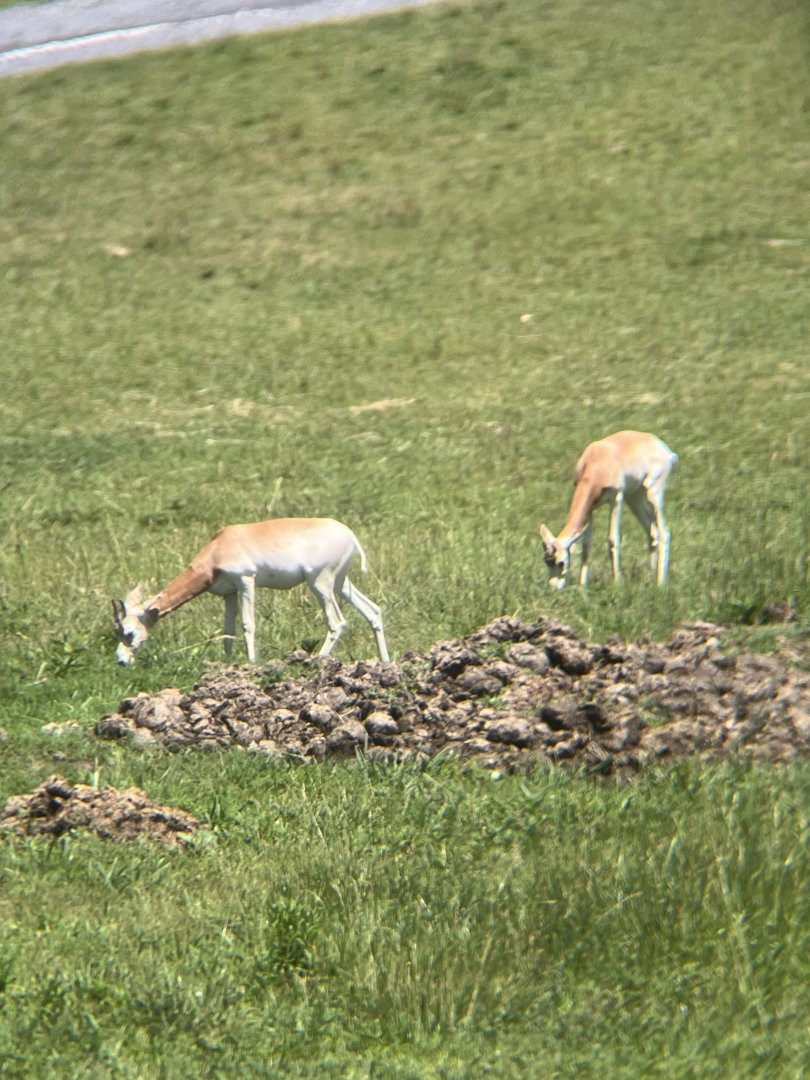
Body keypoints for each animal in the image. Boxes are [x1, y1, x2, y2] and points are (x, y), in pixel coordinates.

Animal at [113, 518, 389, 666]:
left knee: (337, 622)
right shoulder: (229, 593)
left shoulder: (246, 581)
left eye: (128, 632)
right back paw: (385, 661)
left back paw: (317, 661)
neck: (219, 546)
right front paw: (227, 663)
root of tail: (349, 534)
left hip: (320, 584)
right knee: (373, 611)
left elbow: (248, 624)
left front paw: (252, 662)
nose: (121, 661)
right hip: (340, 584)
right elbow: (228, 631)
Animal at [539, 431, 678, 590]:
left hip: (653, 494)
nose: (554, 588)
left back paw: (660, 583)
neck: (598, 461)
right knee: (652, 533)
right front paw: (582, 586)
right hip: (634, 497)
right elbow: (586, 547)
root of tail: (664, 449)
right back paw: (648, 578)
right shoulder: (590, 507)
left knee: (664, 533)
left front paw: (617, 582)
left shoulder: (616, 498)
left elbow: (613, 540)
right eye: (546, 561)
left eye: (561, 562)